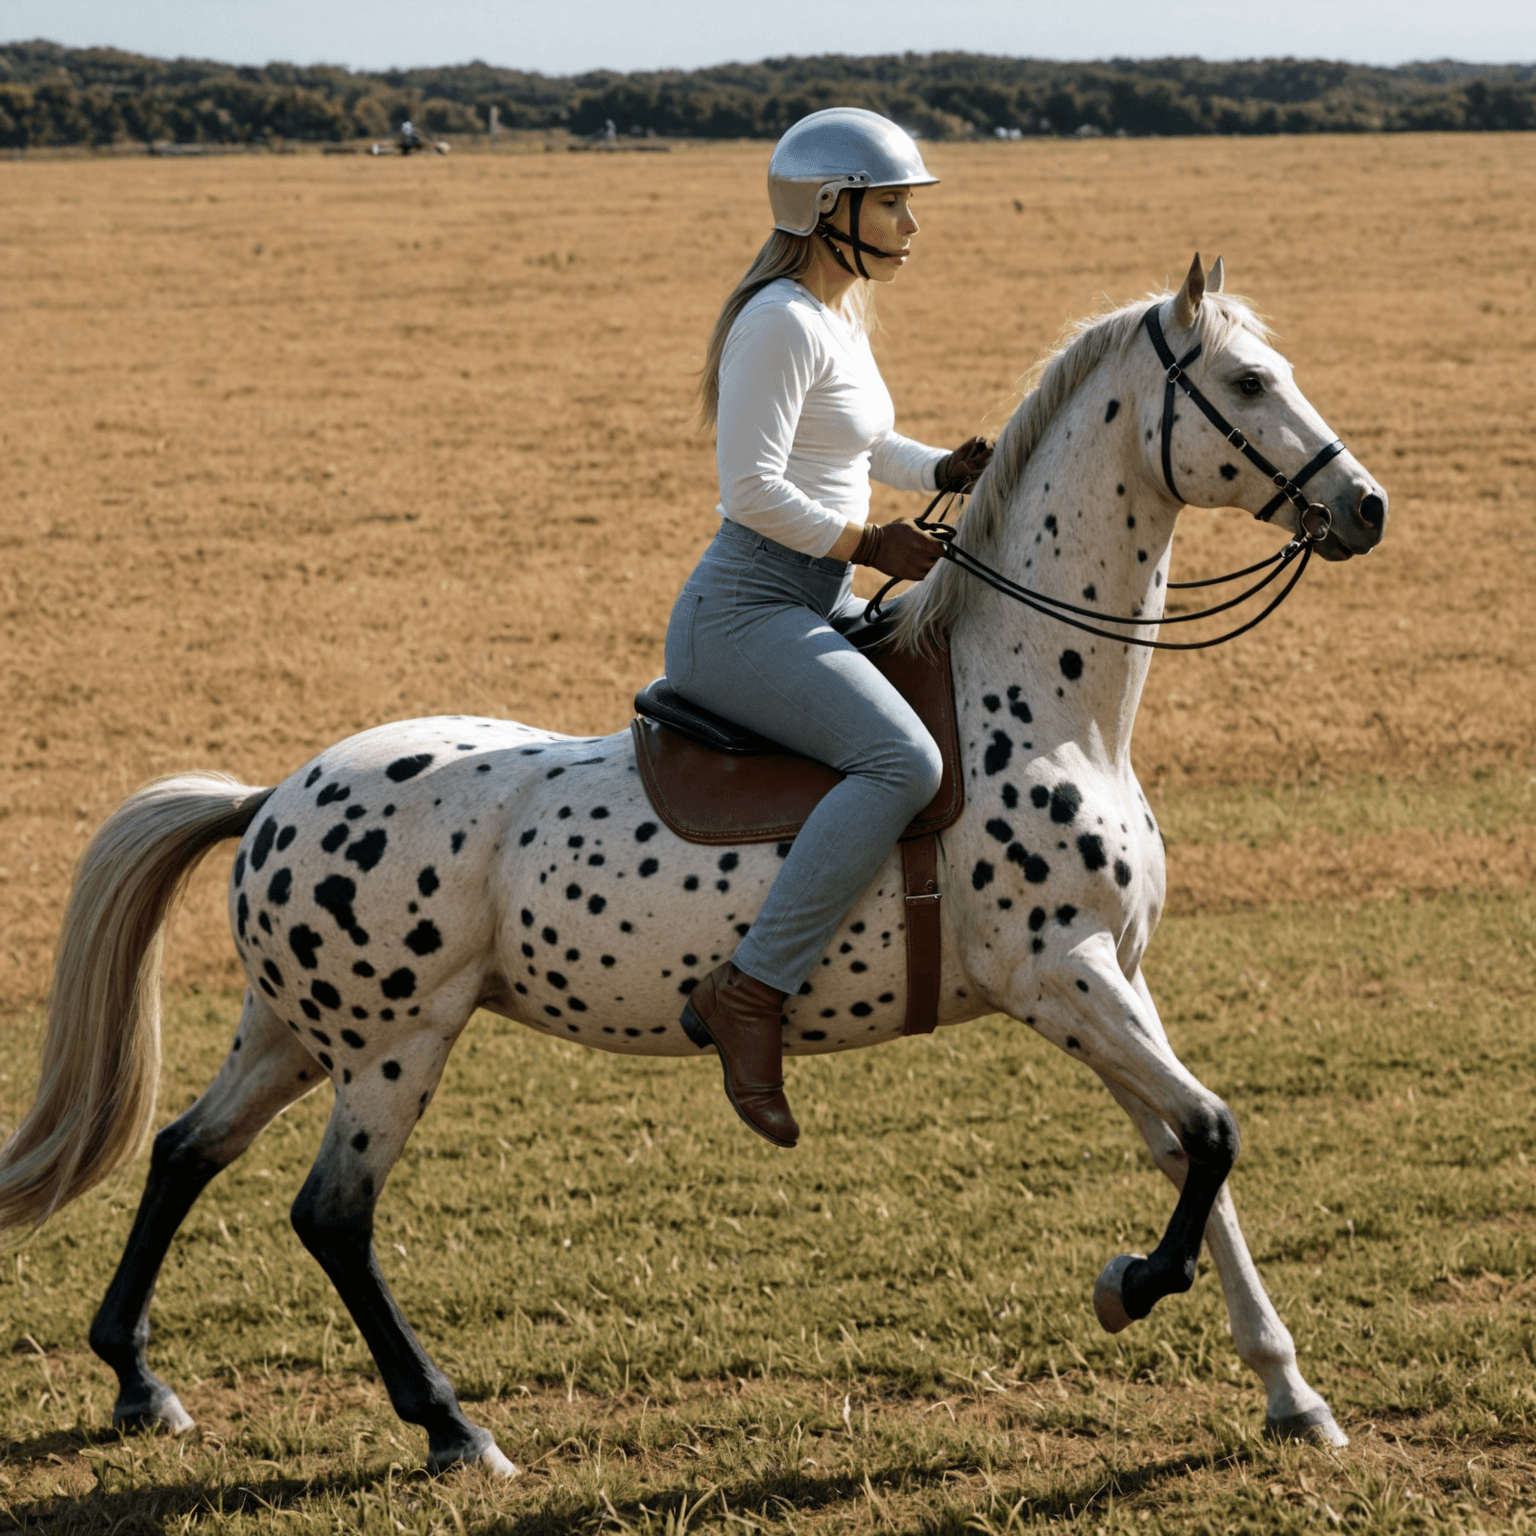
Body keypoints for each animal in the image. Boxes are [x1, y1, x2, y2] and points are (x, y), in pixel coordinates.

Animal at [0, 256, 1387, 1477]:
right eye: (1251, 380)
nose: (1364, 506)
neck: (1044, 704)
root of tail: (271, 799)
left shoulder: (1113, 980)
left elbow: (1190, 1154)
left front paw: (1291, 1395)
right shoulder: (1062, 978)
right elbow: (1211, 1132)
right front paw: (1127, 1288)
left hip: (293, 1033)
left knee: (184, 1151)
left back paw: (138, 1379)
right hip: (393, 1049)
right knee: (331, 1216)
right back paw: (451, 1426)